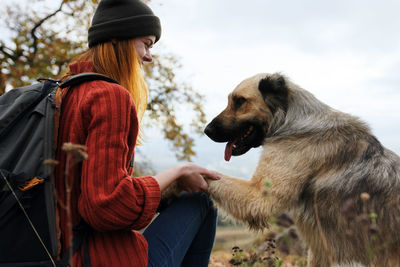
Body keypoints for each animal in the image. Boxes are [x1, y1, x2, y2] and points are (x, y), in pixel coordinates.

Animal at [205, 73, 400, 267]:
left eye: (240, 101)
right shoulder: (319, 249)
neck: (288, 119)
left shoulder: (258, 197)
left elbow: (215, 178)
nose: (207, 131)